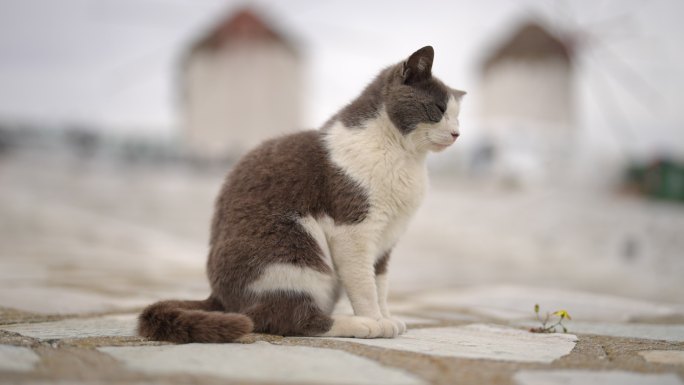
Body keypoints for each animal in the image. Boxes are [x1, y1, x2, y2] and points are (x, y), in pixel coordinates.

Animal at [139, 45, 464, 342]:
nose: (457, 134)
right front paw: (376, 320)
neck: (406, 157)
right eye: (439, 109)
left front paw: (386, 317)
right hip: (294, 252)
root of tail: (219, 298)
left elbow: (380, 284)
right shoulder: (353, 230)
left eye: (458, 117)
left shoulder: (388, 238)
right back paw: (358, 324)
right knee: (284, 319)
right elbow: (364, 285)